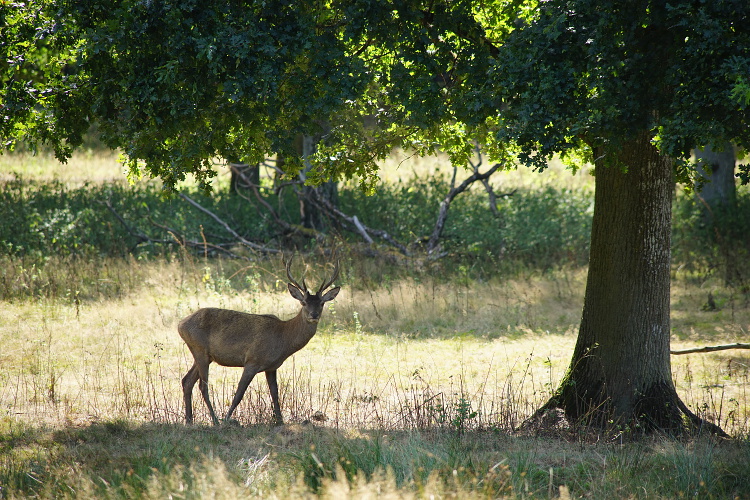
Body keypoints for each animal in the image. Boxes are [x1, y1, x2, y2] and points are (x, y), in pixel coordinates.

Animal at [176, 258, 340, 426]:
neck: (283, 340)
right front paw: (227, 419)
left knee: (187, 381)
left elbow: (275, 393)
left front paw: (280, 420)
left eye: (322, 303)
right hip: (199, 349)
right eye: (304, 303)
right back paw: (215, 420)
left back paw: (189, 420)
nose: (314, 315)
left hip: (204, 355)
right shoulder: (252, 361)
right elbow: (239, 394)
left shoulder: (272, 367)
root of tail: (180, 324)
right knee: (203, 386)